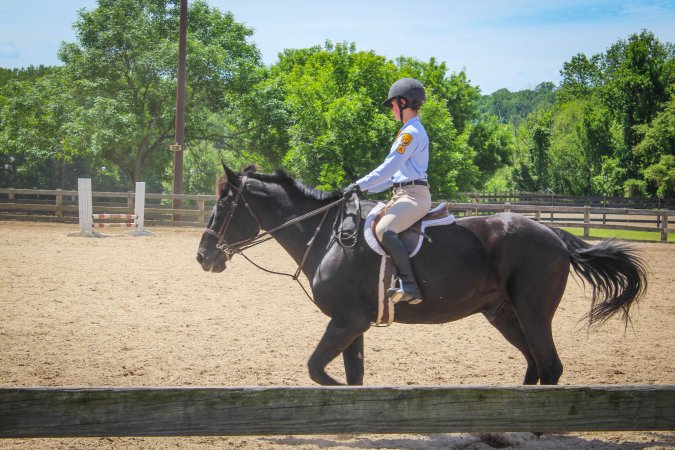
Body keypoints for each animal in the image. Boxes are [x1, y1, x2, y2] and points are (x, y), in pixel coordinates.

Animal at [197, 165, 648, 386]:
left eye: (224, 203)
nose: (203, 256)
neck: (325, 235)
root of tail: (551, 233)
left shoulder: (346, 321)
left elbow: (318, 371)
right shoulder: (352, 322)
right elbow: (351, 376)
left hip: (533, 313)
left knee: (550, 368)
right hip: (504, 315)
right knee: (536, 366)